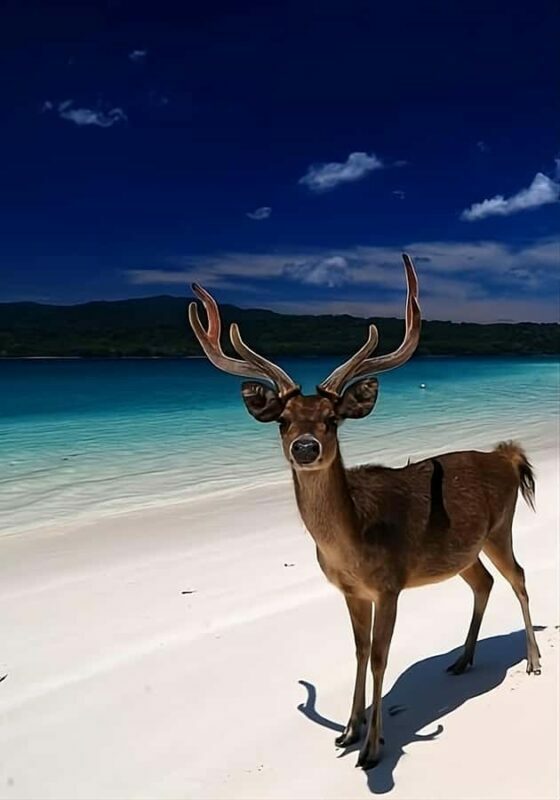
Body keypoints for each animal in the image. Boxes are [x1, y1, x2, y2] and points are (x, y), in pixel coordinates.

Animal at [188, 253, 541, 770]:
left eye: (332, 420)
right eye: (282, 421)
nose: (306, 447)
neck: (351, 546)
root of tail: (508, 455)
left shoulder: (390, 584)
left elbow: (379, 656)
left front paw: (373, 747)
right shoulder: (350, 590)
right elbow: (356, 651)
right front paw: (348, 731)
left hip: (501, 526)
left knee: (518, 576)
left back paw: (533, 659)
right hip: (463, 550)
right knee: (484, 582)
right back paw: (462, 660)